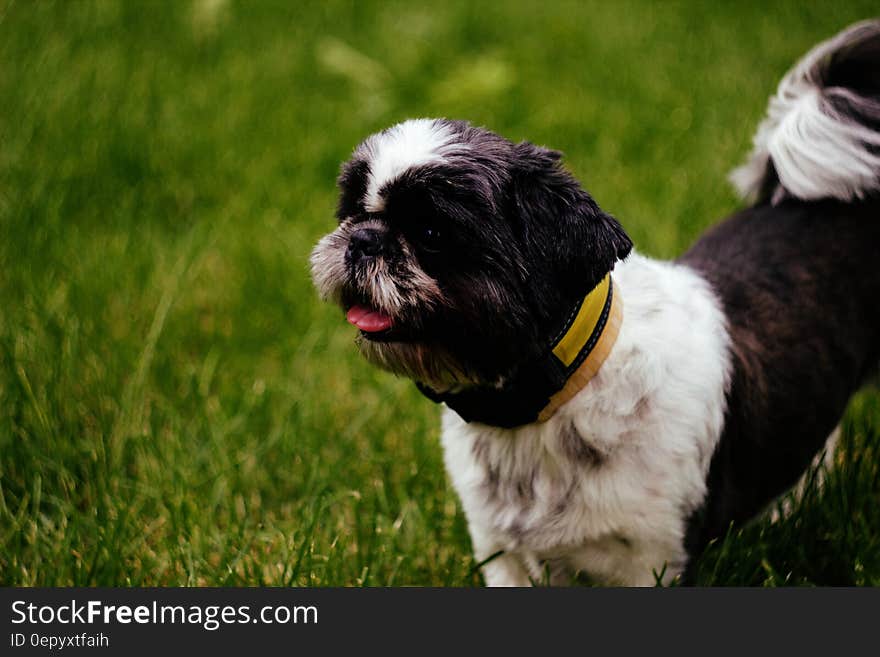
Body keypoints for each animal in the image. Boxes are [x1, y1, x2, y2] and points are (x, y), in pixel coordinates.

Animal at [312, 19, 880, 584]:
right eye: (352, 211)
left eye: (431, 233)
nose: (362, 239)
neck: (546, 403)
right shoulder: (502, 554)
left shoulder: (650, 561)